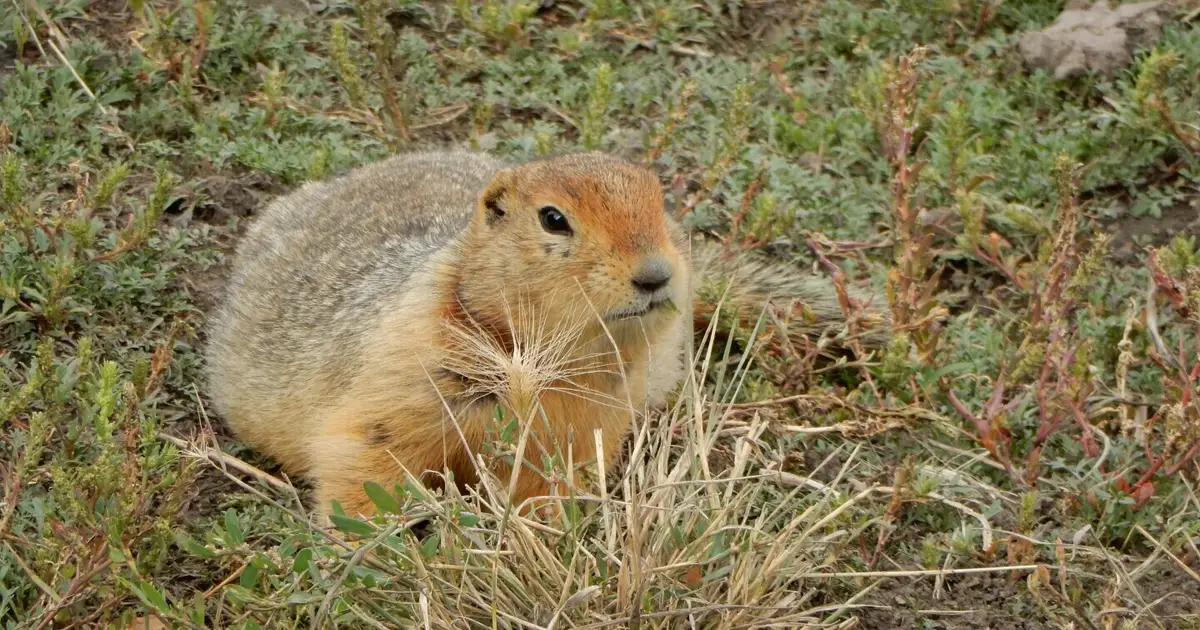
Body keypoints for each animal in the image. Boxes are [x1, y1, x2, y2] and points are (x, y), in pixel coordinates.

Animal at [204, 150, 890, 520]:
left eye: (659, 200)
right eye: (553, 218)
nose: (657, 274)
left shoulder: (588, 421)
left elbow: (552, 481)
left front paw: (544, 528)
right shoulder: (403, 373)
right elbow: (365, 457)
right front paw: (371, 544)